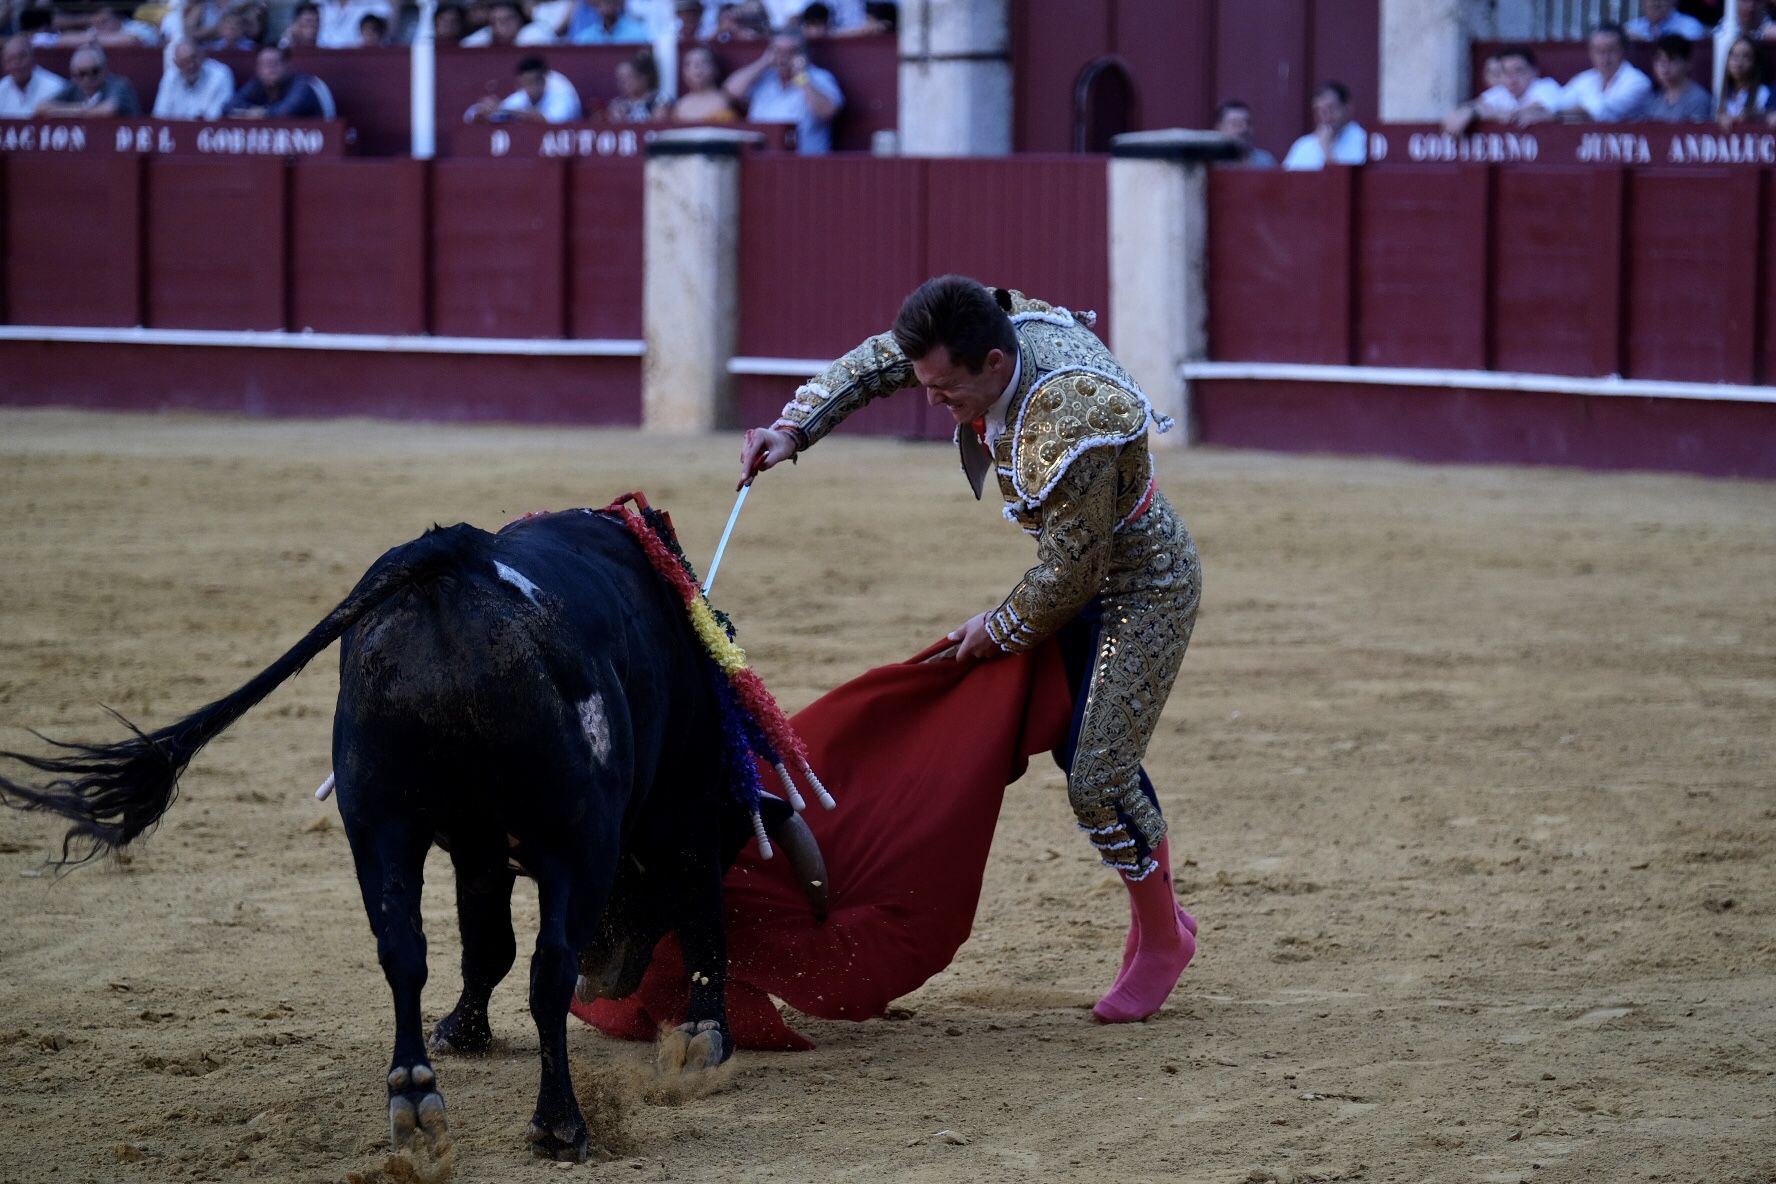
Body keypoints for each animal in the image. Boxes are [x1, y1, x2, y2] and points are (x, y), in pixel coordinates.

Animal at [0, 507, 827, 1157]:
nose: (612, 977)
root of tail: (448, 564)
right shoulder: (680, 810)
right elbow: (693, 912)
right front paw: (706, 1037)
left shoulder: (475, 848)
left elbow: (482, 944)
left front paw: (461, 1030)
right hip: (575, 836)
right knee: (548, 967)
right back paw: (559, 1122)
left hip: (379, 823)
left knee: (404, 950)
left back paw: (415, 1096)